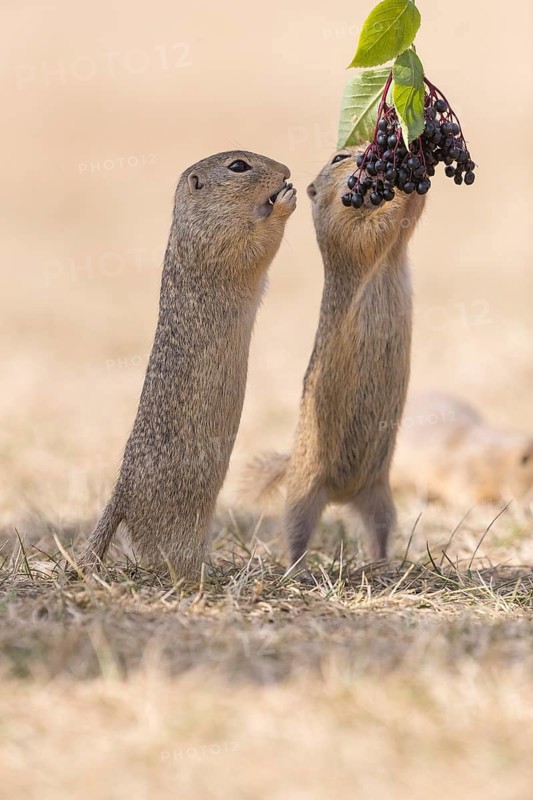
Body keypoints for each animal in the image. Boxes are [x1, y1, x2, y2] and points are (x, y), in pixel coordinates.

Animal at [79, 151, 297, 578]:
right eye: (238, 166)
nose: (287, 172)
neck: (196, 216)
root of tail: (121, 495)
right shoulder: (221, 241)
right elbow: (257, 245)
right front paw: (284, 202)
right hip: (183, 525)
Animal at [243, 146, 425, 567]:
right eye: (341, 157)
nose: (365, 158)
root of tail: (342, 494)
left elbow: (407, 222)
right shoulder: (343, 232)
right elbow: (373, 230)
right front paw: (402, 185)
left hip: (380, 495)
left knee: (378, 529)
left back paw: (382, 563)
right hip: (303, 494)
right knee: (294, 531)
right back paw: (295, 569)